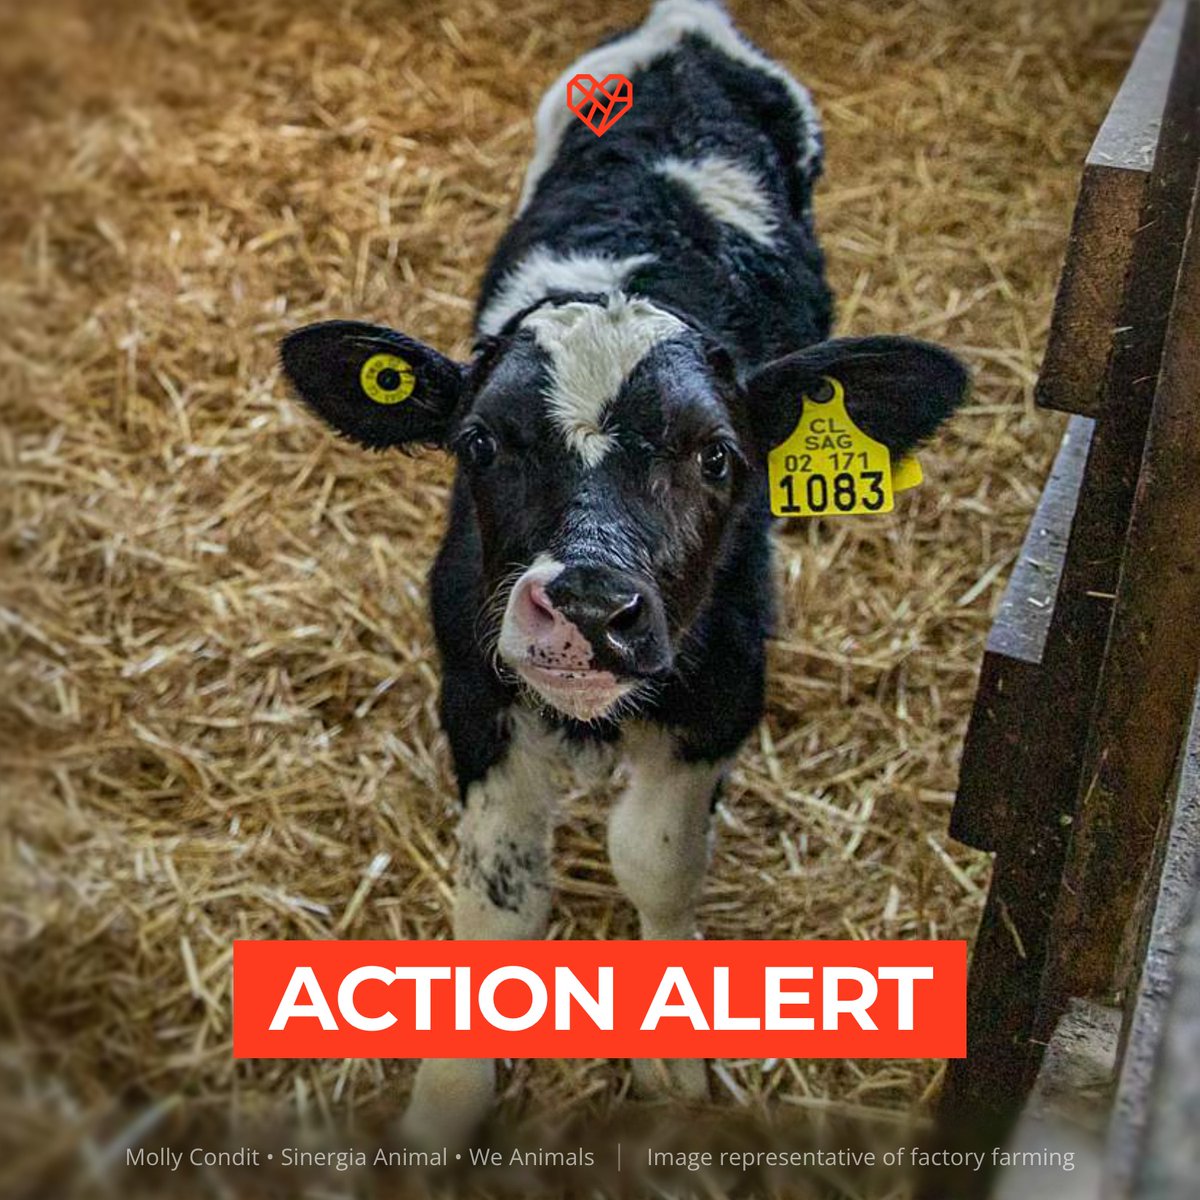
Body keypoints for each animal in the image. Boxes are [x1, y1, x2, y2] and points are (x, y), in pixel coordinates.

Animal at [279, 0, 969, 1140]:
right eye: (479, 444)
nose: (591, 608)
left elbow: (656, 859)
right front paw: (447, 1101)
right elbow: (499, 897)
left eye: (719, 456)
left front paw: (673, 1061)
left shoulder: (726, 688)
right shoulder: (473, 686)